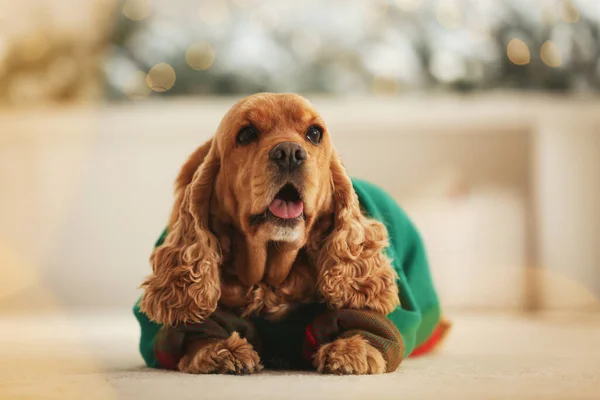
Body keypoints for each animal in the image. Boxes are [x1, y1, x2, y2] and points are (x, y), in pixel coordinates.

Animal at [139, 94, 398, 376]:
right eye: (246, 134)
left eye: (314, 133)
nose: (290, 153)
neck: (270, 278)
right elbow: (196, 330)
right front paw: (221, 351)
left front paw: (351, 349)